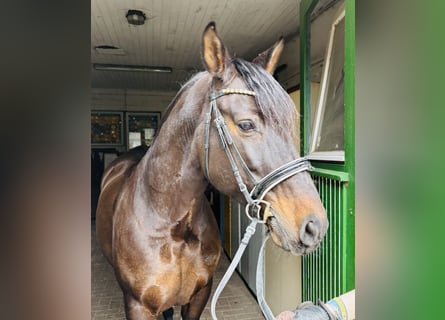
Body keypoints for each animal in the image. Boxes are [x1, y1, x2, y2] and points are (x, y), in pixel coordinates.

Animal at [96, 21, 326, 318]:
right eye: (246, 125)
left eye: (290, 123)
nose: (315, 226)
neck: (173, 226)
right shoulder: (137, 305)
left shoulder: (199, 297)